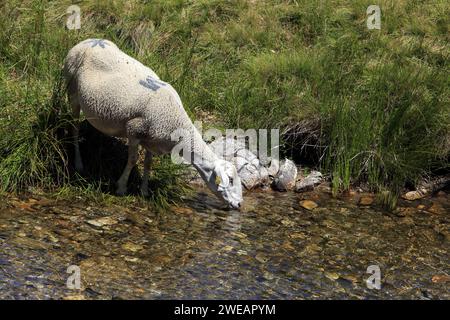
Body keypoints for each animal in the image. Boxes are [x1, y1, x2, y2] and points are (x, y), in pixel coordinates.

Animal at [63, 39, 243, 210]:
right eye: (230, 179)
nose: (240, 204)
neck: (176, 123)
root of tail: (88, 41)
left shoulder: (152, 140)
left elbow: (148, 164)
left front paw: (144, 191)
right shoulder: (134, 129)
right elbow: (133, 160)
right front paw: (121, 187)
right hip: (72, 92)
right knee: (74, 129)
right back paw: (79, 163)